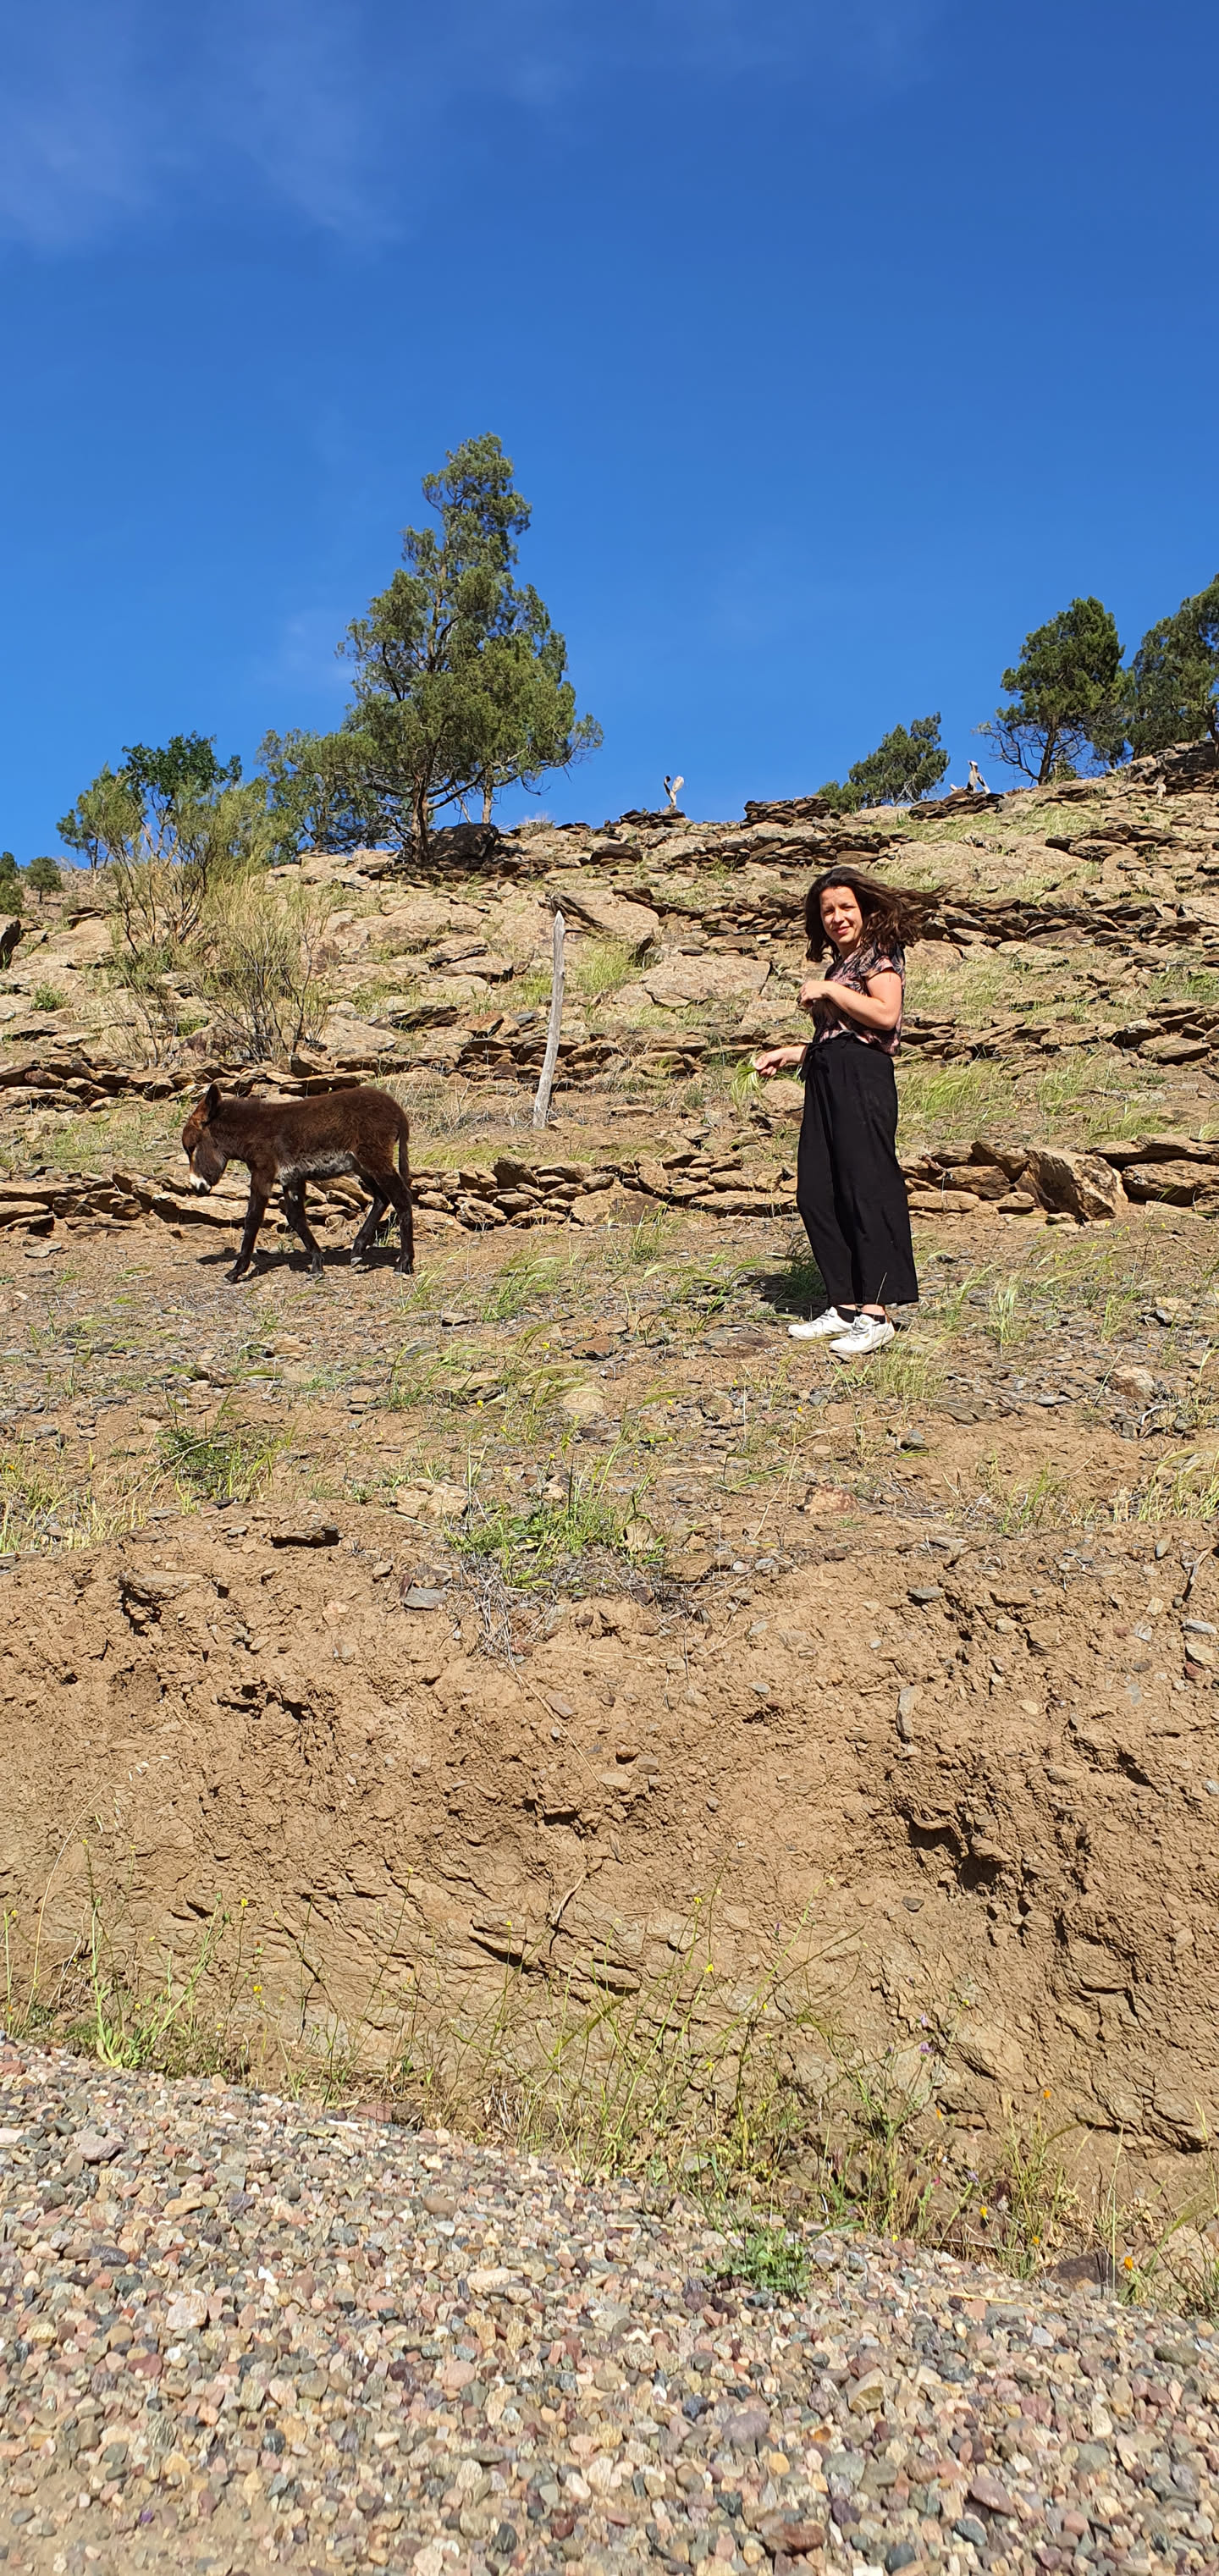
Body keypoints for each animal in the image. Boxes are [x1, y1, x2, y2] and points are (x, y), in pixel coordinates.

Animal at [181, 1083, 414, 1283]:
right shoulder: (291, 1179)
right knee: (382, 1198)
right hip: (362, 1166)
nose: (195, 1187)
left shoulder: (263, 1174)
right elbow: (296, 1218)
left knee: (402, 1199)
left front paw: (236, 1271)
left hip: (375, 1160)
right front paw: (317, 1264)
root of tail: (397, 1110)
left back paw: (404, 1263)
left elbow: (253, 1218)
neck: (252, 1129)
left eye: (191, 1147)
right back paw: (358, 1251)